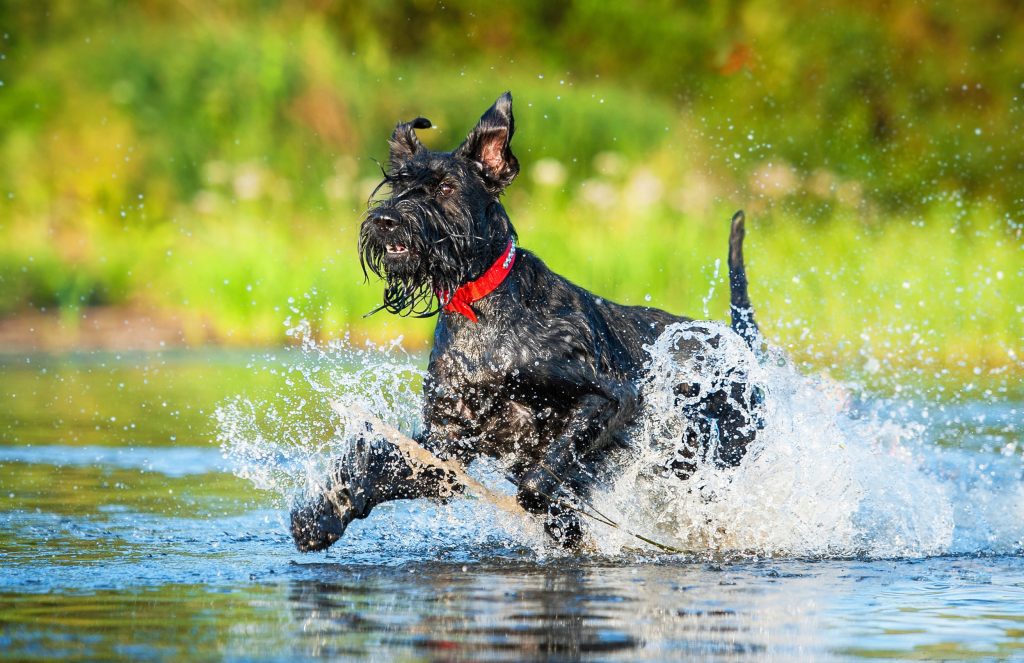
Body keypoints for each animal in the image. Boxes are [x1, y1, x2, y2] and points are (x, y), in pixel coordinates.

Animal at [288, 90, 761, 553]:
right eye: (397, 184)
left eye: (445, 187)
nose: (386, 220)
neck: (480, 312)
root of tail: (739, 346)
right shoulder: (449, 444)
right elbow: (377, 469)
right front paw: (320, 516)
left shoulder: (609, 398)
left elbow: (542, 476)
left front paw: (558, 514)